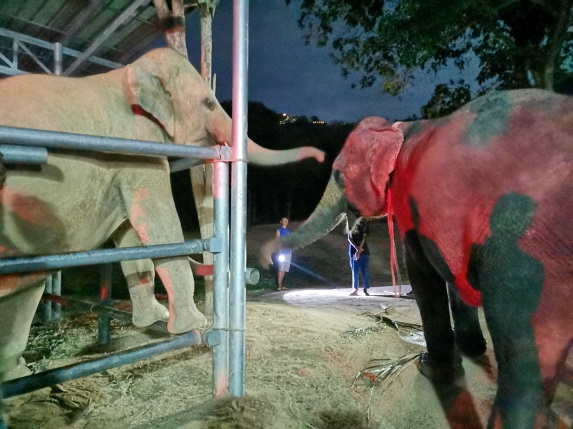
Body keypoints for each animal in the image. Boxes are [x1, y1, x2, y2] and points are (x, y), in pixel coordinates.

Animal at [0, 46, 324, 382]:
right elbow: (156, 218)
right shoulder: (135, 145)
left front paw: (153, 319)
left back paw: (17, 374)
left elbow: (130, 232)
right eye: (208, 103)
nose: (321, 156)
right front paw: (192, 325)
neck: (129, 73)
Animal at [262, 88, 572, 426]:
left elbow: (422, 270)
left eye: (338, 175)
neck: (399, 127)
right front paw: (471, 348)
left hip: (525, 250)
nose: (267, 258)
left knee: (526, 355)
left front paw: (429, 366)